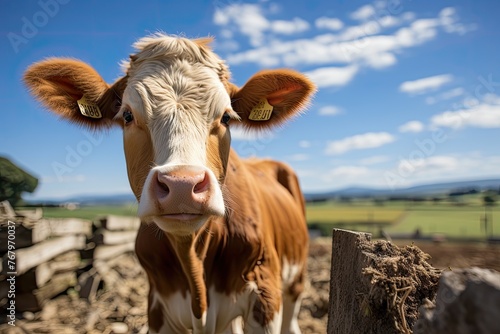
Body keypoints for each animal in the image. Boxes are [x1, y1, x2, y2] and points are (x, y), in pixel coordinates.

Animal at [23, 32, 314, 334]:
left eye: (226, 117)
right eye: (127, 115)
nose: (181, 186)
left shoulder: (265, 295)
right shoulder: (157, 307)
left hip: (295, 280)